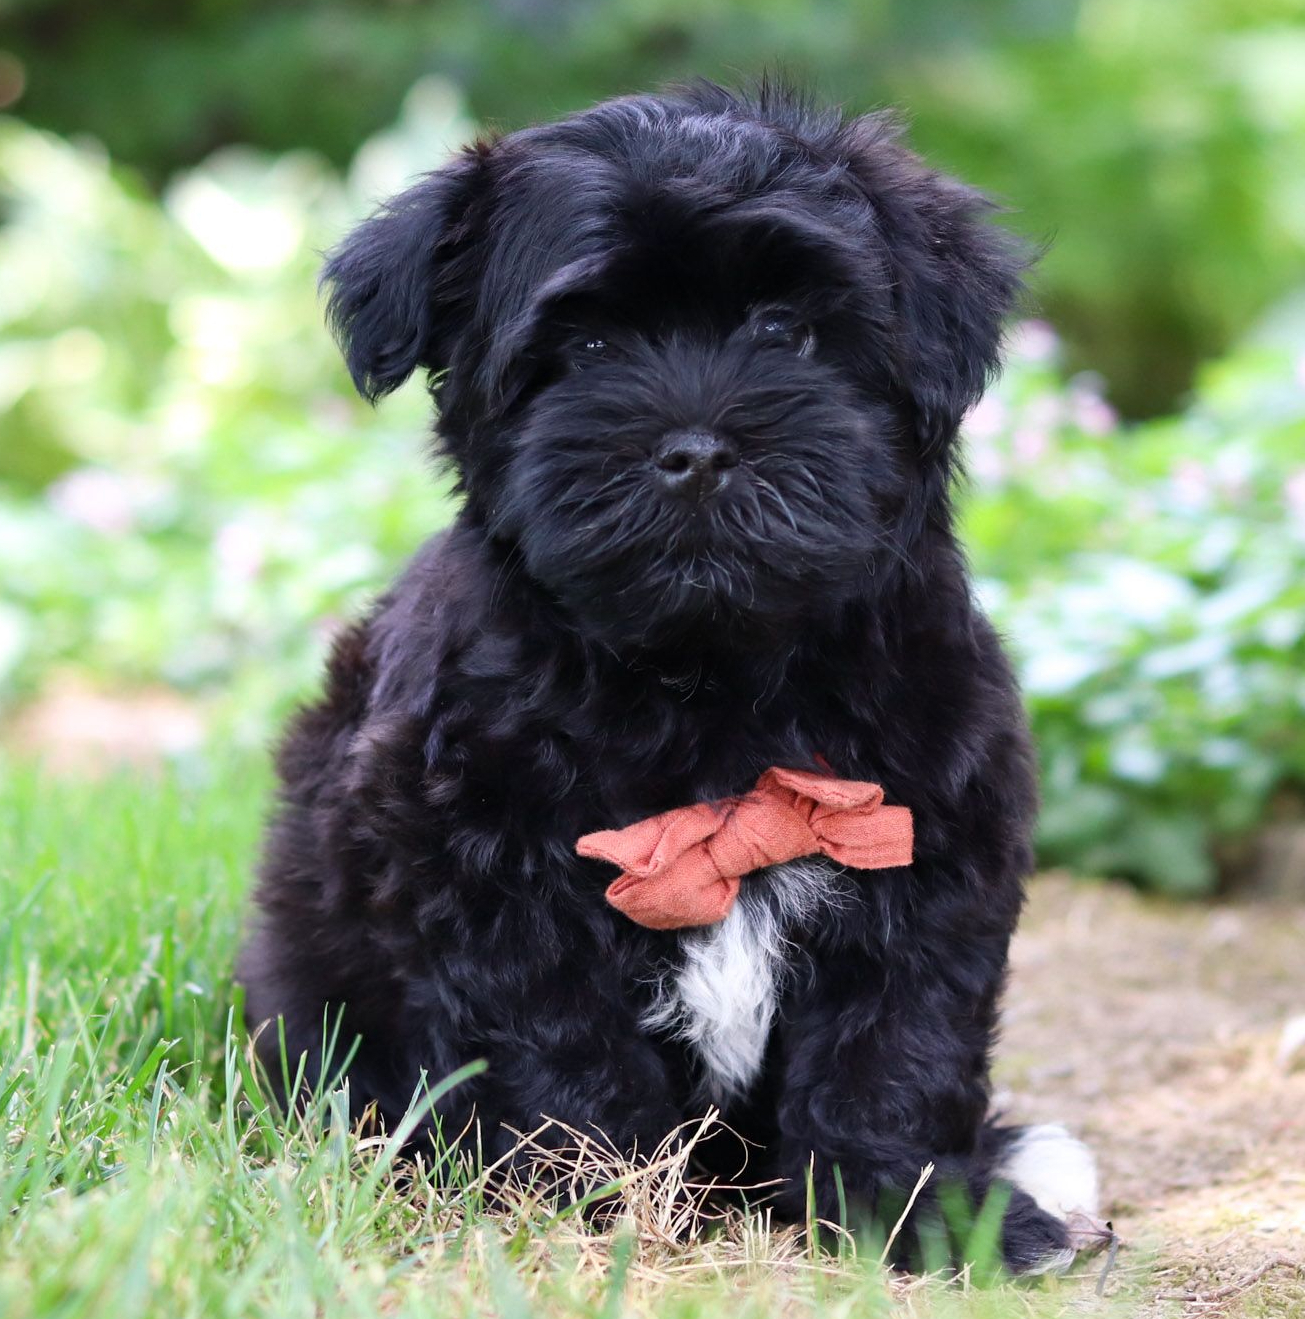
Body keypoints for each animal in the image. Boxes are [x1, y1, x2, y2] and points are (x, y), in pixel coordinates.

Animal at [238, 79, 1092, 1266]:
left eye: (787, 329)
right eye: (588, 343)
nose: (695, 448)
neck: (711, 675)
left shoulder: (932, 845)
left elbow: (891, 1051)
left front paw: (915, 1209)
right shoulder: (484, 867)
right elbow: (562, 1054)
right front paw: (598, 1212)